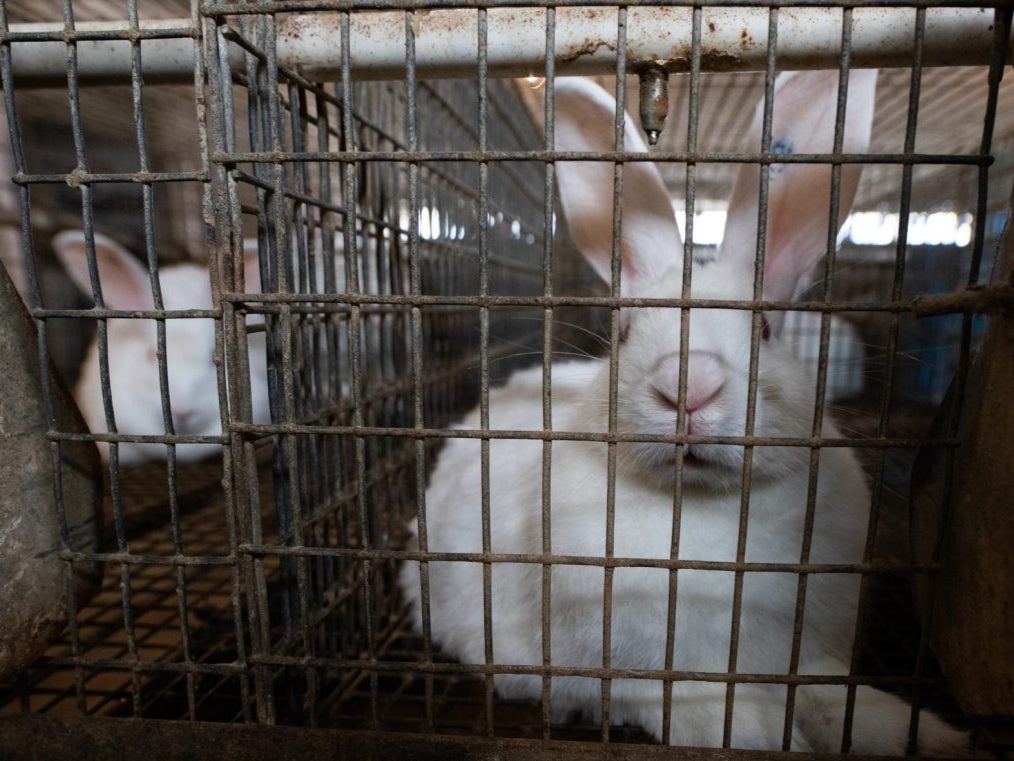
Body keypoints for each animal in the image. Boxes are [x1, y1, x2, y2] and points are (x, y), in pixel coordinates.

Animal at [399, 73, 969, 758]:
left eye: (767, 330)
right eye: (622, 333)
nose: (688, 384)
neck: (699, 509)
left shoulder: (804, 659)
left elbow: (839, 701)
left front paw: (935, 738)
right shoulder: (640, 677)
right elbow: (710, 714)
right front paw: (768, 737)